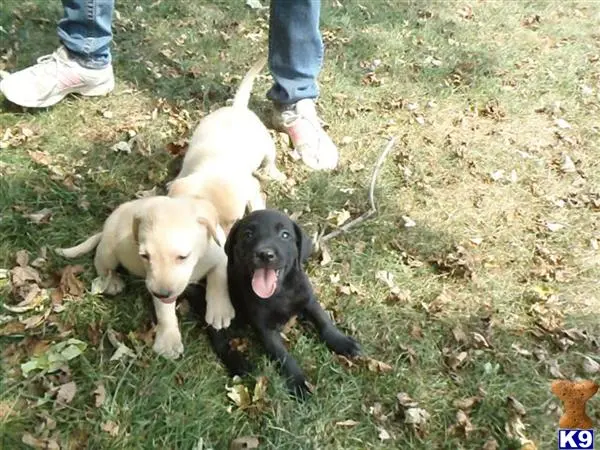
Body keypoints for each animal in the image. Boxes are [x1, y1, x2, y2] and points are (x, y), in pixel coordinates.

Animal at [205, 209, 360, 400]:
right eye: (248, 234)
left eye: (285, 235)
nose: (265, 254)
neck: (281, 292)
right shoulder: (265, 328)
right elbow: (284, 356)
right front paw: (299, 383)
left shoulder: (309, 300)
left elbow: (324, 321)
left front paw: (342, 342)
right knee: (218, 341)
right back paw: (239, 363)